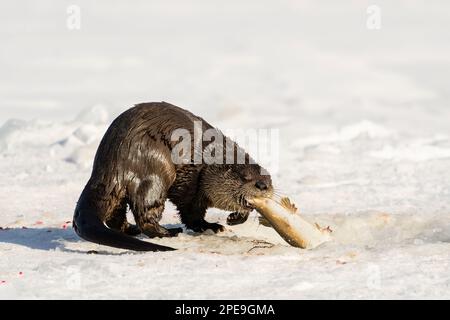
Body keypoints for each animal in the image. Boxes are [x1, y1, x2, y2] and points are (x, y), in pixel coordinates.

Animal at [74, 101, 272, 251]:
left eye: (268, 179)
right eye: (245, 177)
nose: (263, 186)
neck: (206, 162)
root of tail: (111, 165)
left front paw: (234, 217)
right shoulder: (190, 181)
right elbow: (190, 211)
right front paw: (210, 226)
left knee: (115, 215)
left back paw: (132, 229)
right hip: (156, 168)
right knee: (145, 212)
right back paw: (168, 233)